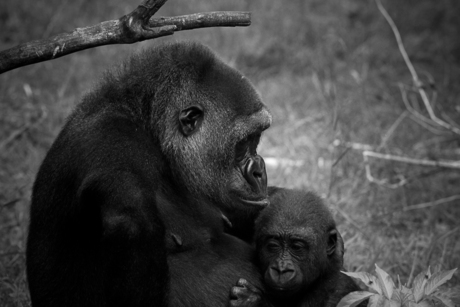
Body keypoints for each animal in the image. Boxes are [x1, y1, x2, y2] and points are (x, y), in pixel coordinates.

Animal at [27, 41, 272, 307]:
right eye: (244, 142)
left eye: (256, 138)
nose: (259, 170)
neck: (148, 127)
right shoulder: (116, 154)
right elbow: (131, 229)